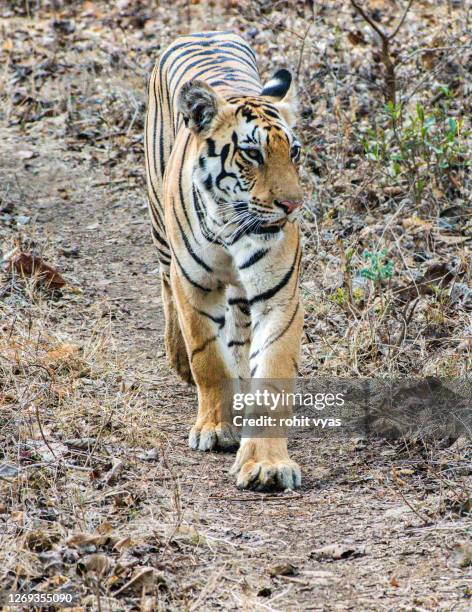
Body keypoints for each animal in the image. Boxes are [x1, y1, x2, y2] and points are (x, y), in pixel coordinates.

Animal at [144, 31, 304, 492]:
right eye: (252, 154)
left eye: (295, 153)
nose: (293, 205)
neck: (234, 227)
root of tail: (202, 32)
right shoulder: (195, 287)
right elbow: (208, 359)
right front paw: (216, 429)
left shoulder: (278, 298)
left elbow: (271, 373)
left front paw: (267, 465)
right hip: (162, 235)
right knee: (166, 287)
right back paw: (178, 360)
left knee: (239, 332)